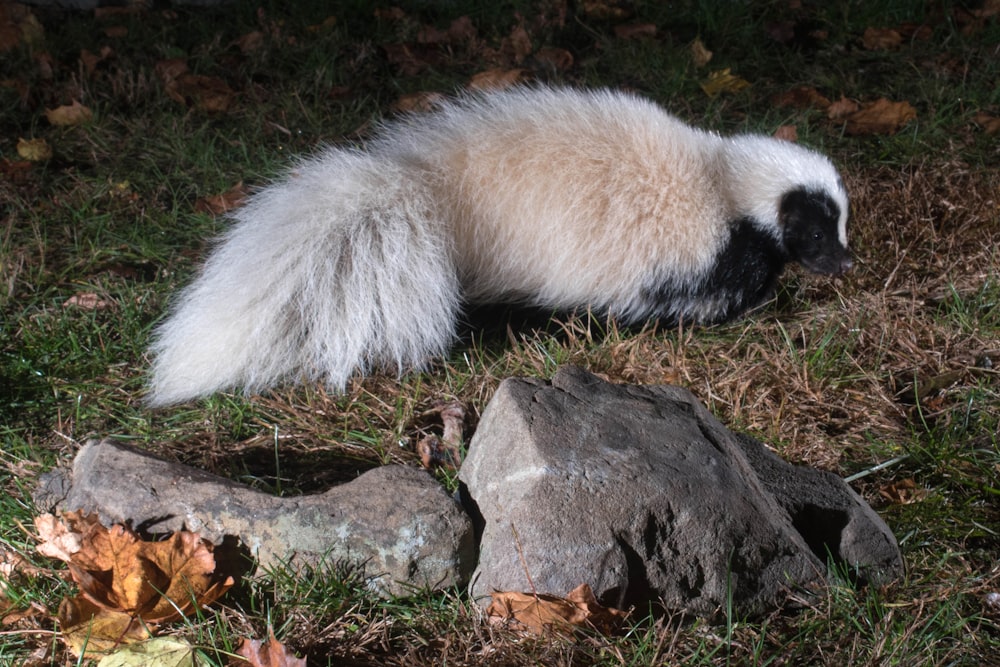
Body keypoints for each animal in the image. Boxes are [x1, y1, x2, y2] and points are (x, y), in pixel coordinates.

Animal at [148, 86, 852, 404]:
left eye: (840, 225)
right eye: (815, 232)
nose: (845, 262)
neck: (722, 180)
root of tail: (430, 190)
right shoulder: (696, 257)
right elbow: (702, 297)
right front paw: (756, 306)